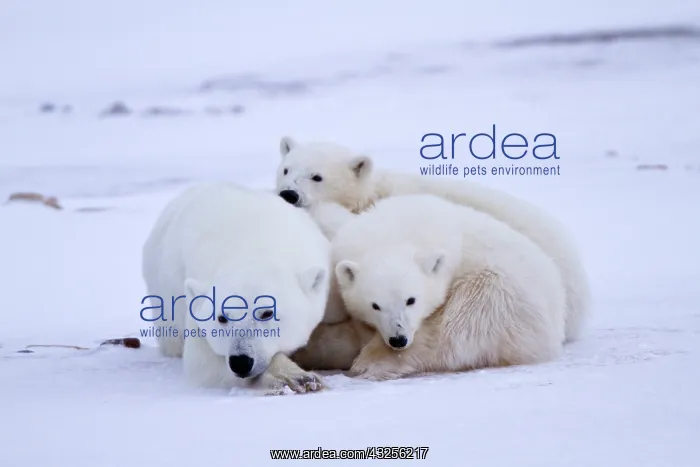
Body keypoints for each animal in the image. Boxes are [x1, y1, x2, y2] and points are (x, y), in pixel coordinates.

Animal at [141, 182, 330, 394]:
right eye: (221, 317)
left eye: (266, 313)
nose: (241, 361)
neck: (252, 249)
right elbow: (204, 363)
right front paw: (294, 377)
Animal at [330, 193, 567, 381]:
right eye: (375, 306)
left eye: (411, 300)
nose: (398, 340)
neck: (392, 236)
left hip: (507, 298)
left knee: (460, 326)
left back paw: (372, 363)